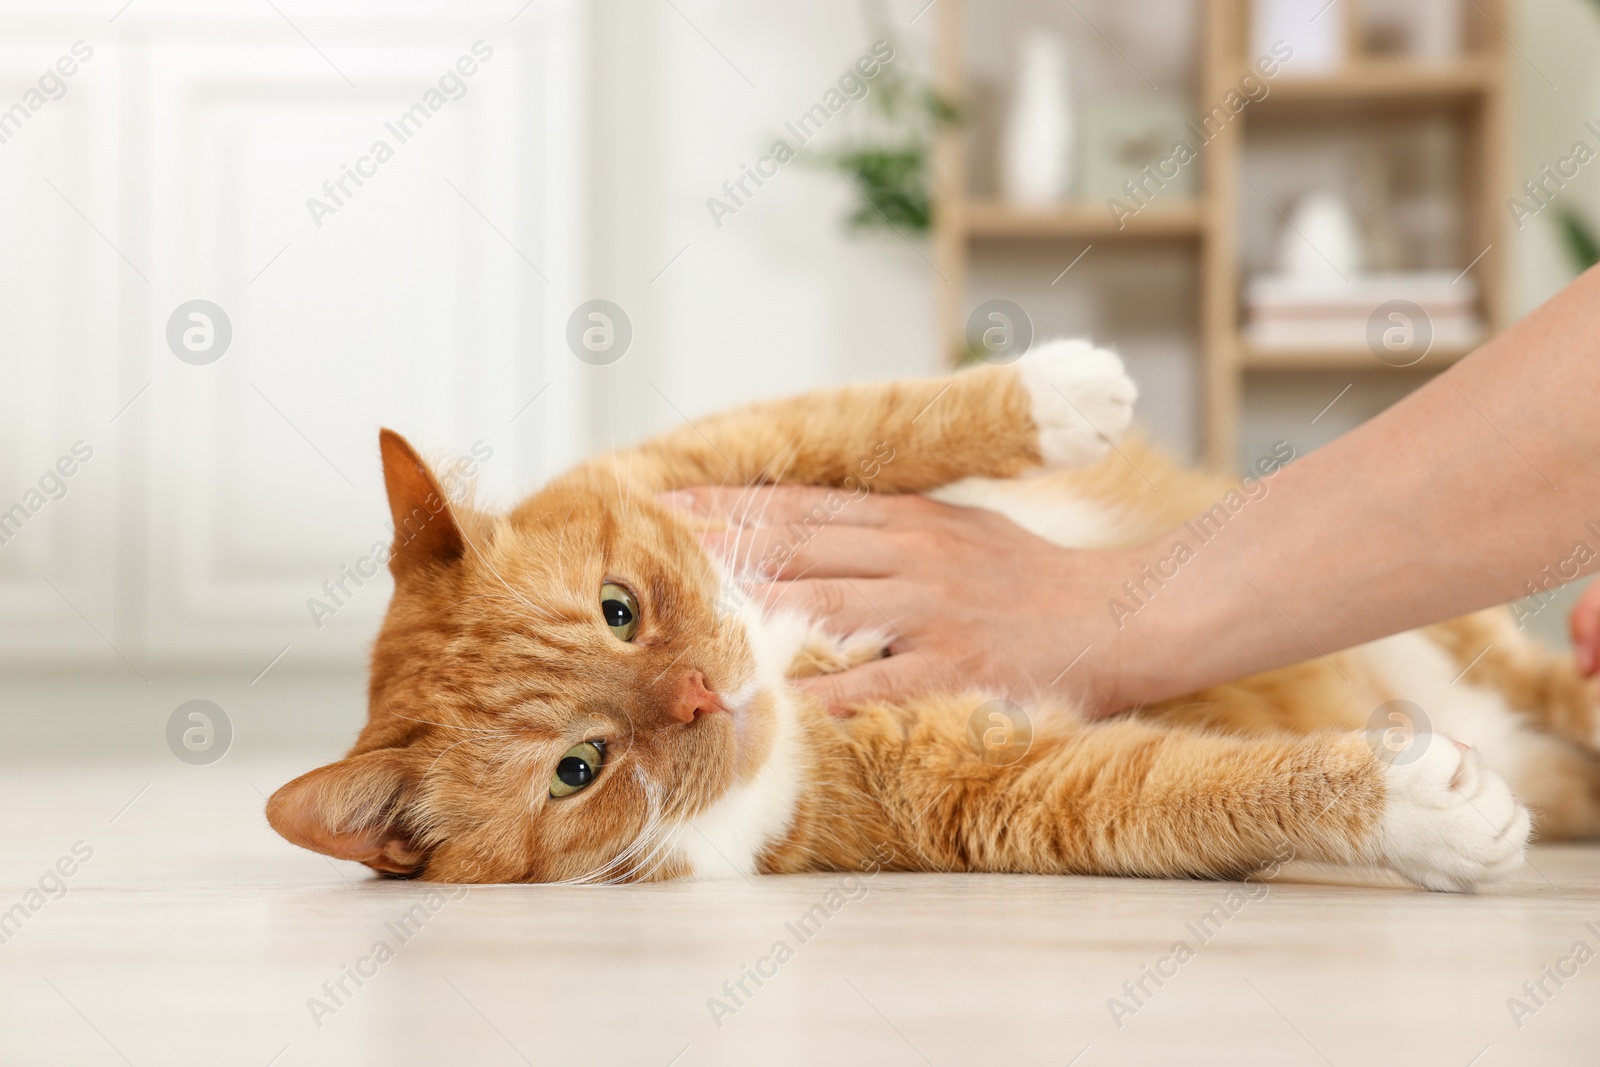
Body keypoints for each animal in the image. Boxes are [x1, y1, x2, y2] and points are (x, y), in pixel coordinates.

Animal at [265, 342, 1600, 895]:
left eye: (619, 608)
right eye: (578, 769)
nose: (703, 693)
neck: (791, 666)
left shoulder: (719, 460)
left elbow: (872, 420)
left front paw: (1059, 389)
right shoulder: (1003, 784)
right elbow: (1187, 786)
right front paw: (1422, 809)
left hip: (1484, 642)